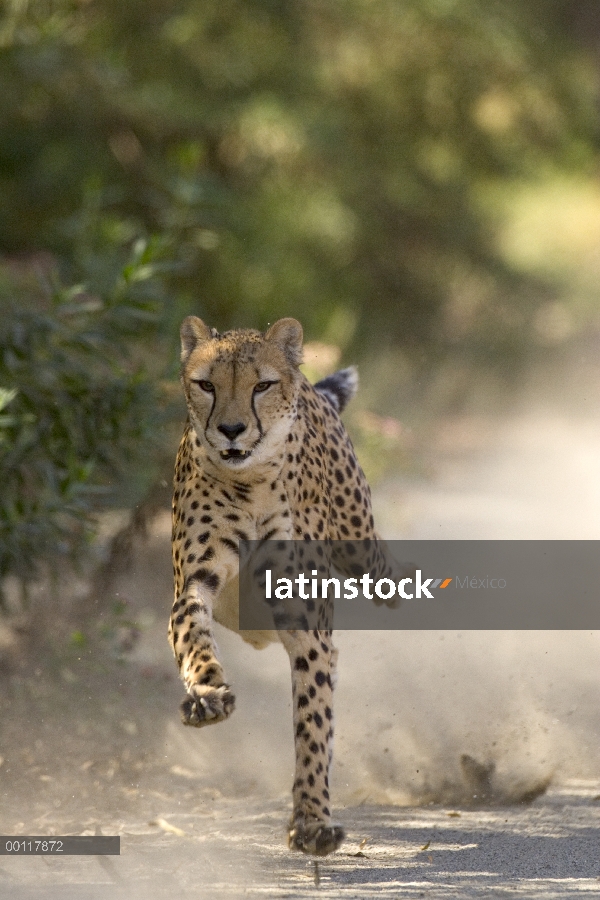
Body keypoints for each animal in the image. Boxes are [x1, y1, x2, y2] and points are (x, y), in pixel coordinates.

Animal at [170, 318, 394, 856]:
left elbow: (313, 724)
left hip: (361, 552)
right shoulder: (195, 582)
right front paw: (207, 693)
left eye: (262, 385)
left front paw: (312, 822)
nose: (231, 430)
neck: (249, 480)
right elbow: (192, 632)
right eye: (206, 384)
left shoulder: (307, 628)